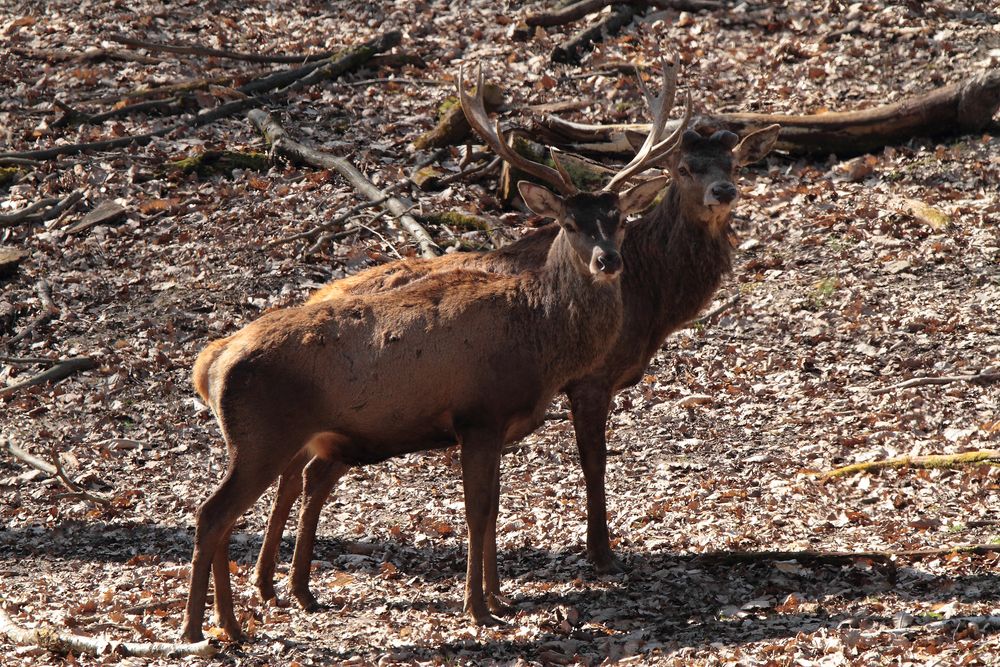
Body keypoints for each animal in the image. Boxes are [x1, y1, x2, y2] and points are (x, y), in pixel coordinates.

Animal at [183, 65, 676, 644]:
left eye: (619, 218)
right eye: (570, 224)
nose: (608, 260)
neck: (538, 341)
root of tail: (211, 365)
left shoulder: (497, 426)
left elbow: (494, 509)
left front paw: (501, 600)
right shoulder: (478, 414)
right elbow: (477, 510)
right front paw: (477, 609)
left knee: (234, 514)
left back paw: (230, 622)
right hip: (261, 435)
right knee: (212, 514)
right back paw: (202, 629)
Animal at [250, 60, 780, 608]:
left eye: (734, 165)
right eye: (684, 169)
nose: (723, 193)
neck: (652, 299)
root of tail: (316, 295)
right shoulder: (591, 379)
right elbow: (594, 461)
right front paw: (601, 553)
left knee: (290, 472)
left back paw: (268, 582)